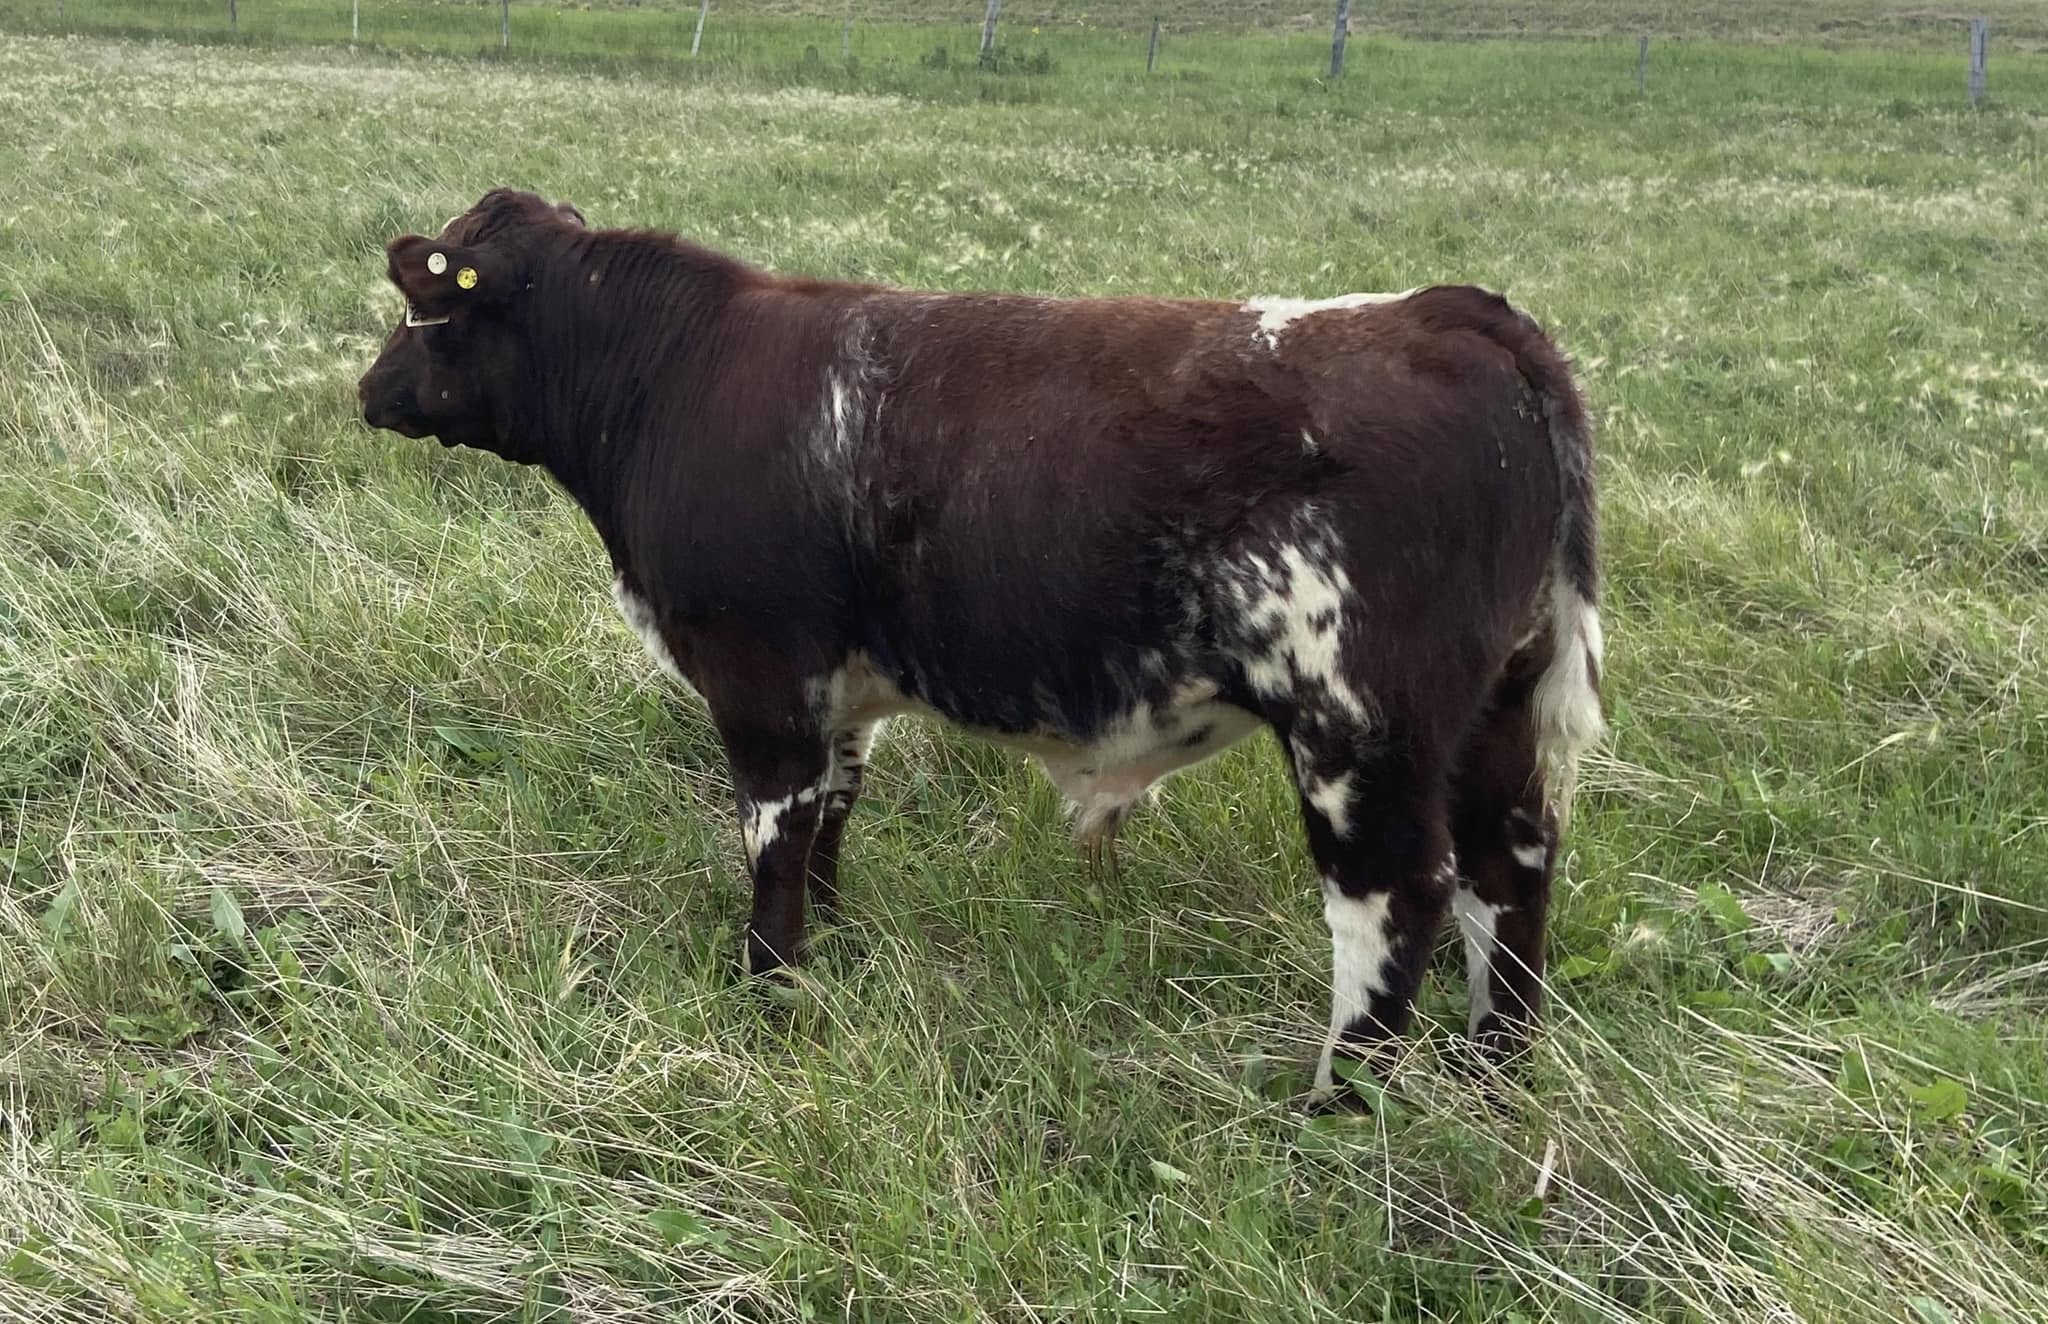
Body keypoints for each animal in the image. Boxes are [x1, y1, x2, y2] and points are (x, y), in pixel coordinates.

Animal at [357, 188, 1605, 1102]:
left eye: (423, 303)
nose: (369, 391)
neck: (675, 378)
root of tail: (1446, 310)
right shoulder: (840, 691)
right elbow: (829, 820)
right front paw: (834, 947)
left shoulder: (759, 675)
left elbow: (771, 839)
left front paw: (769, 988)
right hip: (1495, 701)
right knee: (1512, 859)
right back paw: (1495, 1070)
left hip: (1357, 720)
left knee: (1396, 893)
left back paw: (1340, 1105)